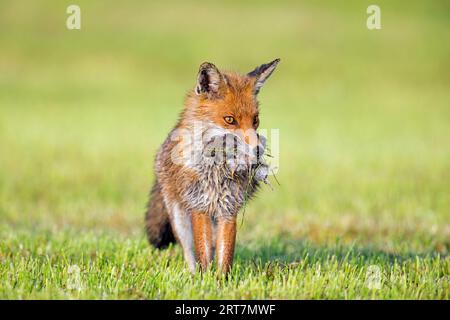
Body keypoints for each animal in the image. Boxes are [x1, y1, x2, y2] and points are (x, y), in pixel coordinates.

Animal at [145, 58, 278, 274]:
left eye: (255, 120)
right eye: (230, 119)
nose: (258, 150)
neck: (216, 172)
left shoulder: (228, 210)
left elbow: (224, 255)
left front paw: (222, 280)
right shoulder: (199, 207)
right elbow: (203, 253)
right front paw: (204, 279)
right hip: (179, 218)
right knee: (188, 250)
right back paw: (191, 275)